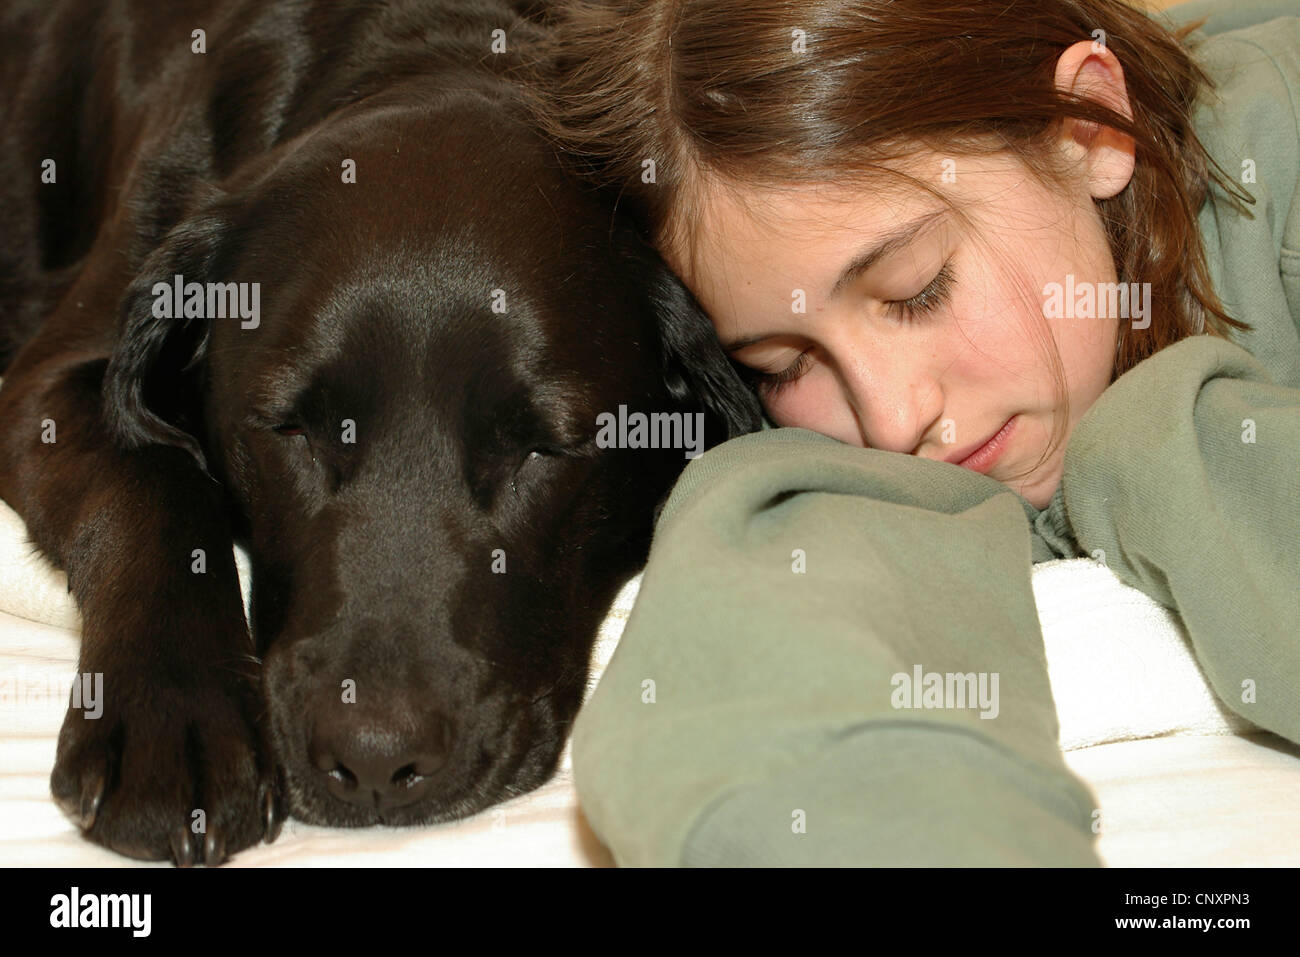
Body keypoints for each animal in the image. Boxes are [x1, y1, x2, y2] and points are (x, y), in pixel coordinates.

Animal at [0, 0, 759, 868]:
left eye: (543, 448)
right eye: (291, 428)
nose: (371, 759)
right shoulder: (48, 385)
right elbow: (152, 478)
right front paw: (174, 714)